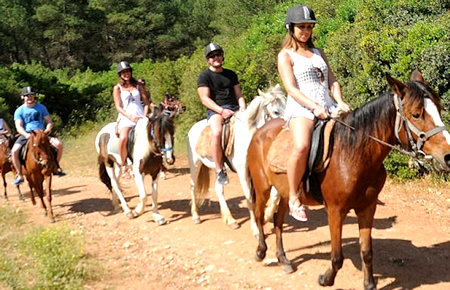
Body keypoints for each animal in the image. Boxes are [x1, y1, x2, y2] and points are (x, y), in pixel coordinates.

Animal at [187, 84, 286, 236]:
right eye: (275, 111)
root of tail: (192, 129)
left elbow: (274, 195)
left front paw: (265, 218)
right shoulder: (243, 171)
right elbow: (250, 198)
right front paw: (256, 229)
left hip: (218, 169)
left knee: (218, 189)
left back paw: (231, 220)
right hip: (195, 164)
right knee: (193, 186)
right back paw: (196, 216)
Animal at [248, 69, 448, 288]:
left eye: (439, 109)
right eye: (416, 114)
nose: (447, 156)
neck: (353, 154)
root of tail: (261, 130)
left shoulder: (367, 207)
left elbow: (367, 251)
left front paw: (369, 284)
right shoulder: (336, 211)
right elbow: (337, 256)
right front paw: (326, 278)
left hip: (285, 193)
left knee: (278, 221)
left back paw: (283, 260)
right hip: (262, 187)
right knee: (258, 214)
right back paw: (260, 251)